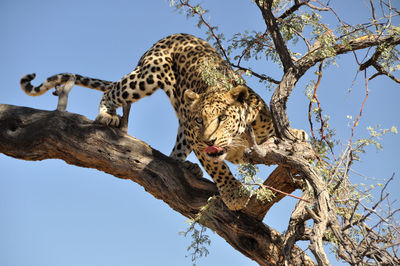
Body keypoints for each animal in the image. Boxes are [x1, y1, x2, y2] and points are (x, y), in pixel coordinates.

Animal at [19, 32, 306, 210]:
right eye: (201, 121)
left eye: (222, 117)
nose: (209, 140)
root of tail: (173, 36)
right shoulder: (202, 142)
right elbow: (219, 168)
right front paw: (234, 194)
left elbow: (273, 141)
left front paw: (296, 138)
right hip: (149, 74)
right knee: (113, 89)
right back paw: (106, 114)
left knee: (176, 148)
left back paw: (185, 166)